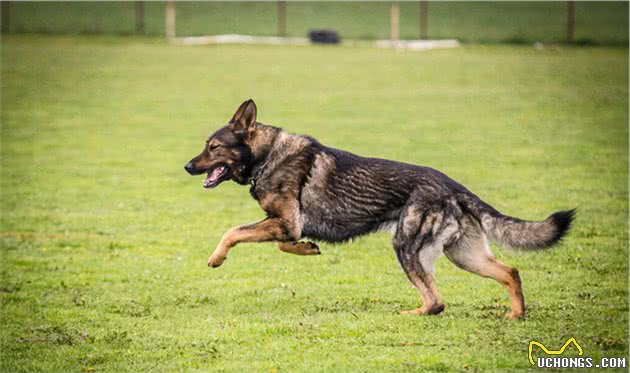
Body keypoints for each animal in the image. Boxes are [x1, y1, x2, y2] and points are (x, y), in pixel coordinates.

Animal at [185, 99, 576, 316]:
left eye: (214, 147)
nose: (187, 166)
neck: (267, 155)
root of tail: (454, 186)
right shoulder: (285, 225)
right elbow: (284, 243)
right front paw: (307, 248)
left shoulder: (285, 221)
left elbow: (234, 231)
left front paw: (217, 258)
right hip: (463, 255)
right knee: (510, 272)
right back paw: (515, 315)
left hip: (407, 247)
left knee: (436, 302)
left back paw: (410, 313)